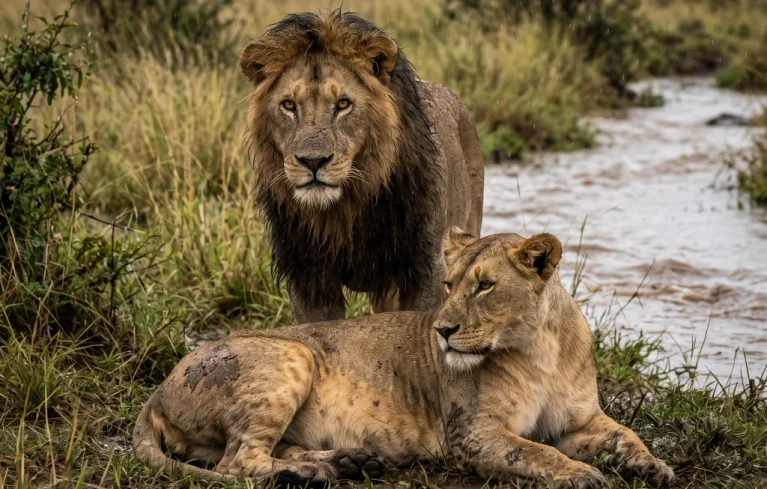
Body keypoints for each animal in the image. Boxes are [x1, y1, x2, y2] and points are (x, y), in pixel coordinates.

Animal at [133, 229, 674, 488]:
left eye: (484, 286)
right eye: (449, 285)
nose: (442, 331)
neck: (538, 346)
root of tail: (157, 392)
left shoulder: (578, 421)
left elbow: (627, 434)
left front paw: (653, 467)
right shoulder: (471, 436)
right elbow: (535, 452)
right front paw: (581, 474)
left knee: (263, 452)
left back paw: (350, 461)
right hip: (293, 353)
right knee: (237, 463)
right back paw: (315, 473)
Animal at [240, 11, 484, 323]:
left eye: (343, 104)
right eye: (289, 105)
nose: (313, 161)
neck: (345, 210)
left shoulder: (424, 268)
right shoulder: (308, 277)